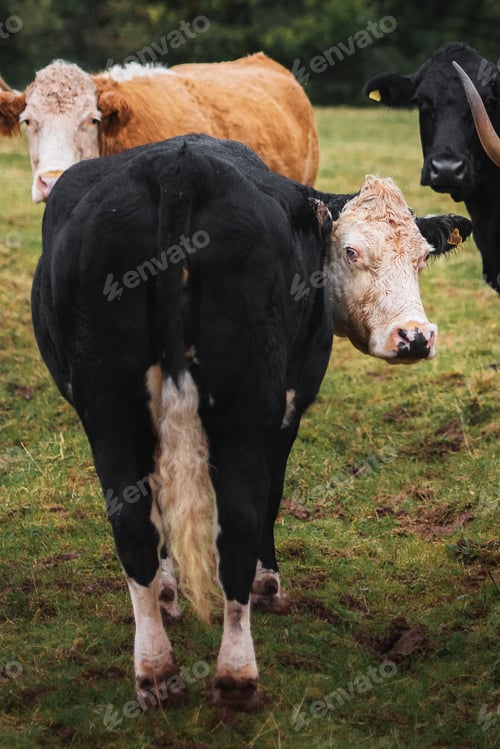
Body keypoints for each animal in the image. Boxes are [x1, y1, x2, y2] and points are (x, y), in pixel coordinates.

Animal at [32, 134, 472, 711]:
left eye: (422, 256)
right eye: (351, 251)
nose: (415, 337)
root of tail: (179, 169)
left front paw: (169, 588)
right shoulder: (289, 400)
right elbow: (270, 498)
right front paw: (268, 583)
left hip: (109, 411)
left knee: (131, 529)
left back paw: (155, 670)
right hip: (244, 406)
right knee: (239, 520)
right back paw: (237, 673)